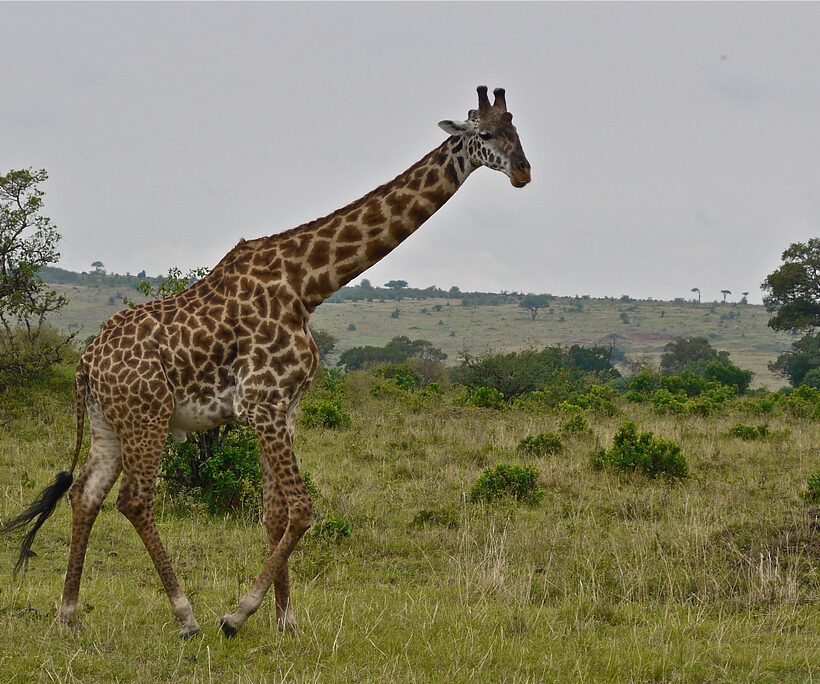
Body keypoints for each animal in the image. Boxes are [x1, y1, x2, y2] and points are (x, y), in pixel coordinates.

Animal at [3, 84, 532, 636]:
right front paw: (238, 614)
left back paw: (69, 613)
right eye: (485, 134)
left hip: (109, 422)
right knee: (134, 498)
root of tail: (85, 362)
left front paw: (287, 620)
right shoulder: (262, 403)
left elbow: (276, 514)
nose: (524, 172)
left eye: (518, 130)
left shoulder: (286, 408)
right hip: (148, 416)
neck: (307, 284)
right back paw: (185, 614)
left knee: (85, 494)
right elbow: (302, 509)